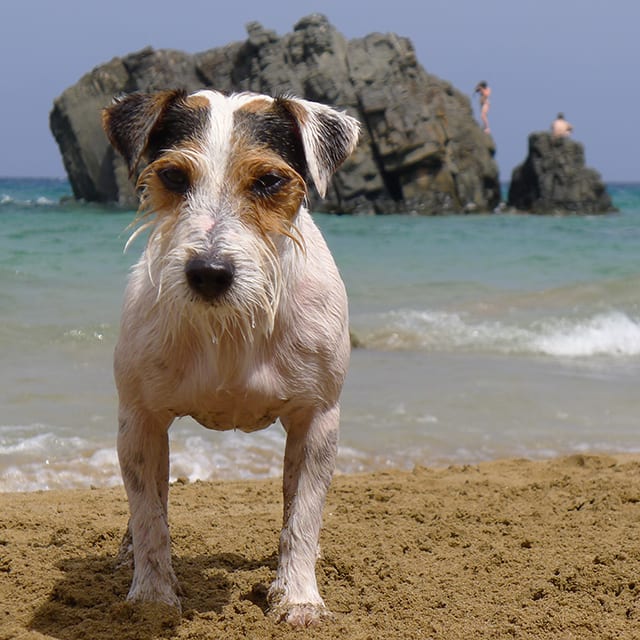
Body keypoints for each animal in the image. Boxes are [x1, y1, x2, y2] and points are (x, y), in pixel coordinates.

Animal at [102, 89, 358, 624]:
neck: (230, 325)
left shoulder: (317, 421)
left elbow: (302, 516)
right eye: (173, 176)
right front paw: (153, 597)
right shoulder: (139, 421)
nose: (209, 272)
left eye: (269, 181)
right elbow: (150, 515)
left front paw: (299, 596)